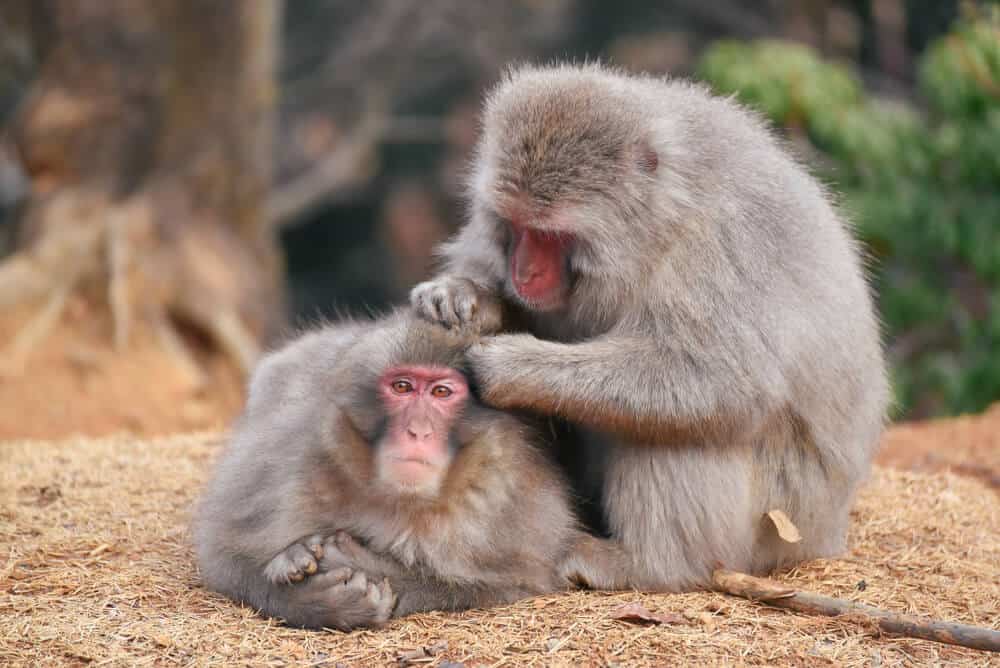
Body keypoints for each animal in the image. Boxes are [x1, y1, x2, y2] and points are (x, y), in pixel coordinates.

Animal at [192, 312, 606, 630]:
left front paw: (360, 563)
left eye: (441, 393)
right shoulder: (297, 464)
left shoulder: (505, 500)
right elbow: (222, 551)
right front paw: (315, 598)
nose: (418, 431)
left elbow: (520, 581)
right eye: (402, 386)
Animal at [411, 63, 889, 592]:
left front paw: (507, 367)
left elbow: (724, 380)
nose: (523, 273)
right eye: (515, 225)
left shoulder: (719, 244)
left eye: (550, 235)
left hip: (778, 524)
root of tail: (828, 535)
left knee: (674, 427)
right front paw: (467, 294)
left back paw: (650, 564)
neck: (659, 221)